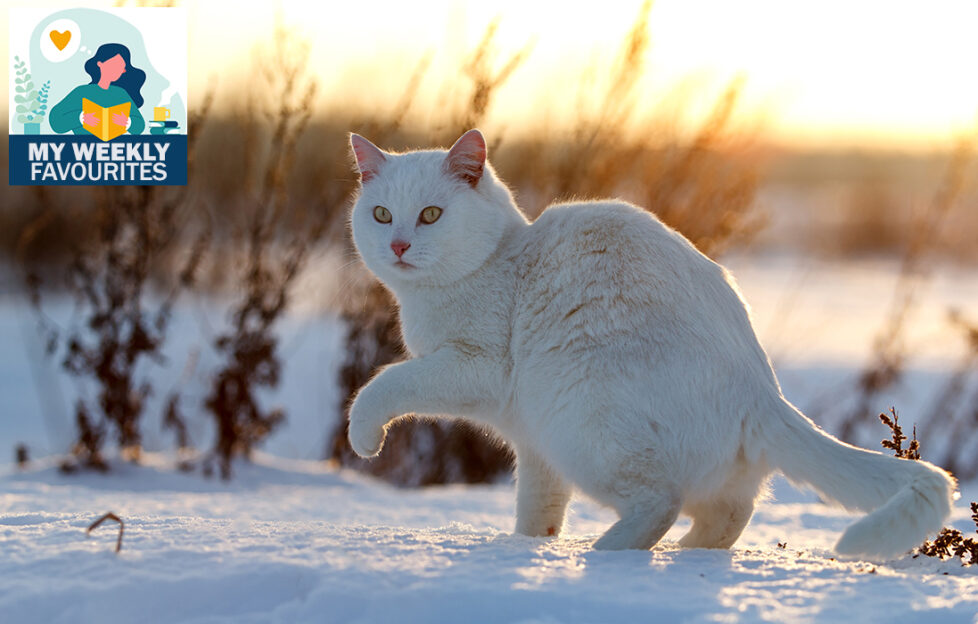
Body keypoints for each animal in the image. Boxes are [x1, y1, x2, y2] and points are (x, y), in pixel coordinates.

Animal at [346, 129, 952, 560]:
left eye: (430, 215)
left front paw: (364, 438)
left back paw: (608, 555)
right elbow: (538, 509)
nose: (398, 245)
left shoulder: (471, 367)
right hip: (575, 433)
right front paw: (526, 550)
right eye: (381, 214)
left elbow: (384, 384)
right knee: (730, 513)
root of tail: (764, 396)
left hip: (579, 419)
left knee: (662, 503)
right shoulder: (534, 448)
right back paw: (688, 556)